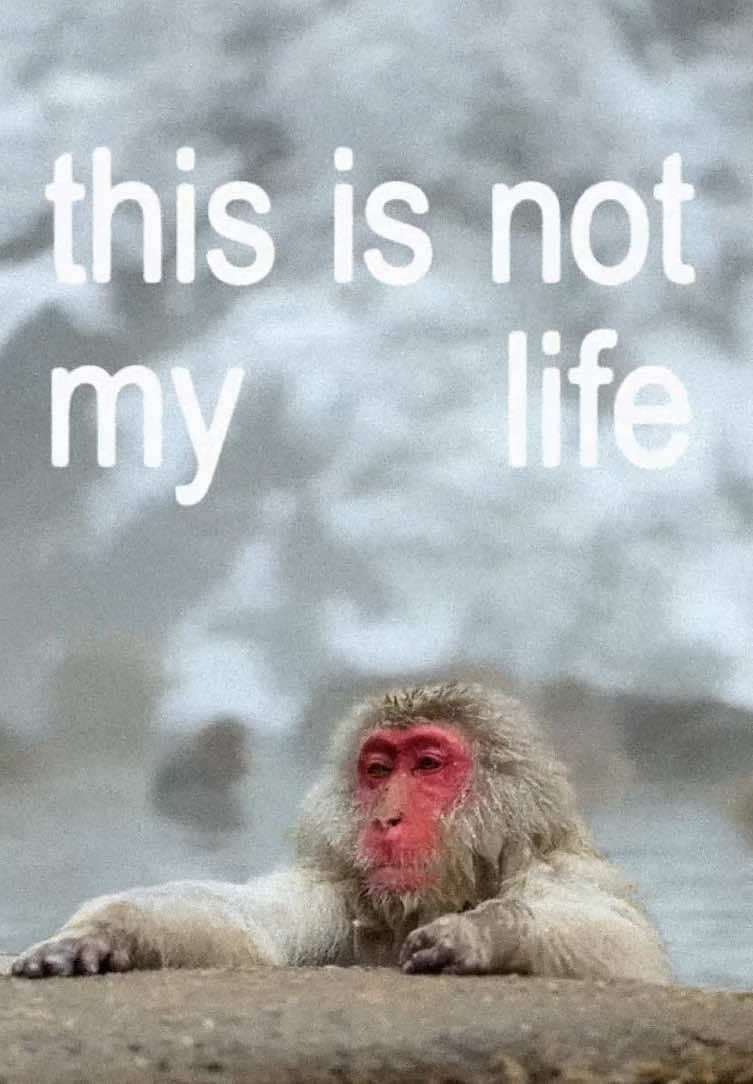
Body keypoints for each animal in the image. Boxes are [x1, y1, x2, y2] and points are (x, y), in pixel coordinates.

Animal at [12, 682, 671, 982]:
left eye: (427, 765)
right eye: (378, 770)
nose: (385, 818)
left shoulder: (567, 872)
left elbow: (627, 951)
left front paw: (485, 933)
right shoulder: (337, 890)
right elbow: (253, 927)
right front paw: (101, 933)